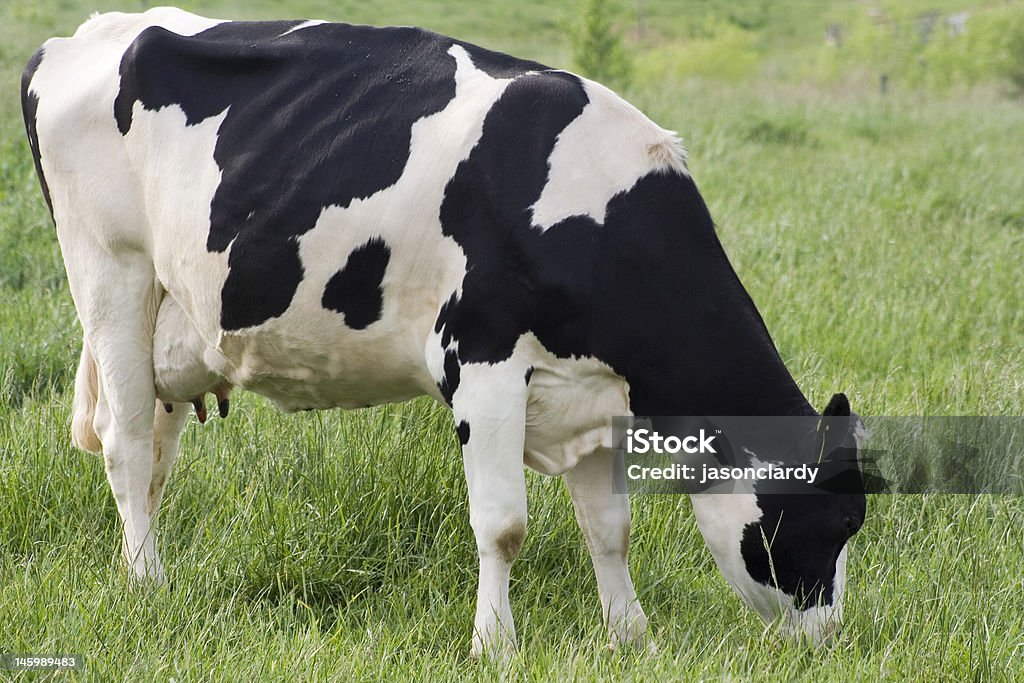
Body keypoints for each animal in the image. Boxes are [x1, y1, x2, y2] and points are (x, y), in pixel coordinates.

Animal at [22, 6, 864, 655]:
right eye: (828, 521)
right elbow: (504, 524)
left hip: (176, 317)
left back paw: (142, 566)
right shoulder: (482, 357)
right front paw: (494, 644)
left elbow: (609, 527)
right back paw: (147, 584)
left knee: (155, 451)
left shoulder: (590, 394)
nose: (829, 638)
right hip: (111, 273)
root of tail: (82, 34)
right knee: (127, 442)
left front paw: (632, 639)